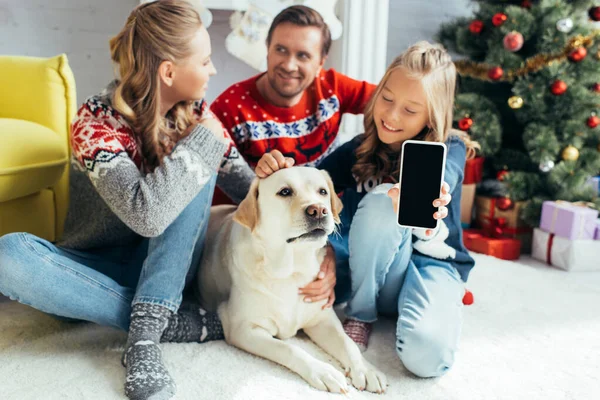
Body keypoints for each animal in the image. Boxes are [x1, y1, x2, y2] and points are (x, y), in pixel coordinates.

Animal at [195, 166, 386, 394]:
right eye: (285, 192)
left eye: (322, 191)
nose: (319, 210)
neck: (292, 270)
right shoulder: (243, 329)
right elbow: (288, 348)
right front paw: (324, 371)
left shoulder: (323, 319)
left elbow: (348, 343)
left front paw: (366, 369)